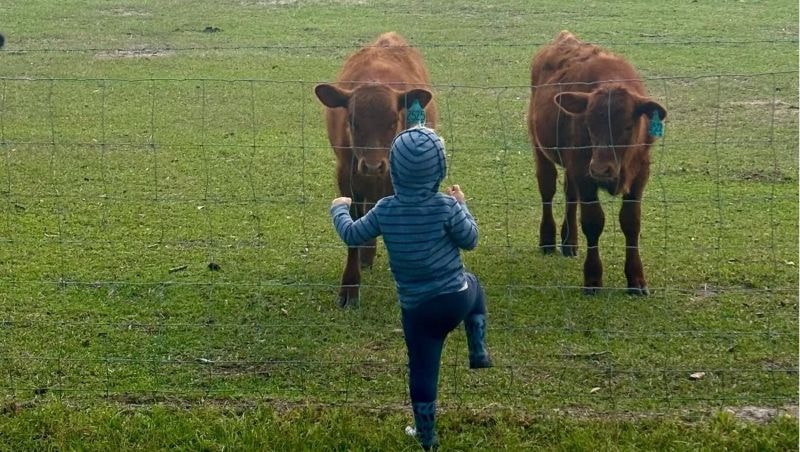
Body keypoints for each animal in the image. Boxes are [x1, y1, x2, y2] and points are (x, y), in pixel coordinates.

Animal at [527, 31, 667, 295]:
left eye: (628, 126)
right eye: (589, 123)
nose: (602, 169)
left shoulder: (640, 175)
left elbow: (631, 222)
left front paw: (636, 279)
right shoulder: (585, 173)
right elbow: (593, 222)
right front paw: (592, 278)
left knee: (570, 195)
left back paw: (569, 242)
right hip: (540, 148)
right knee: (547, 190)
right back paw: (548, 240)